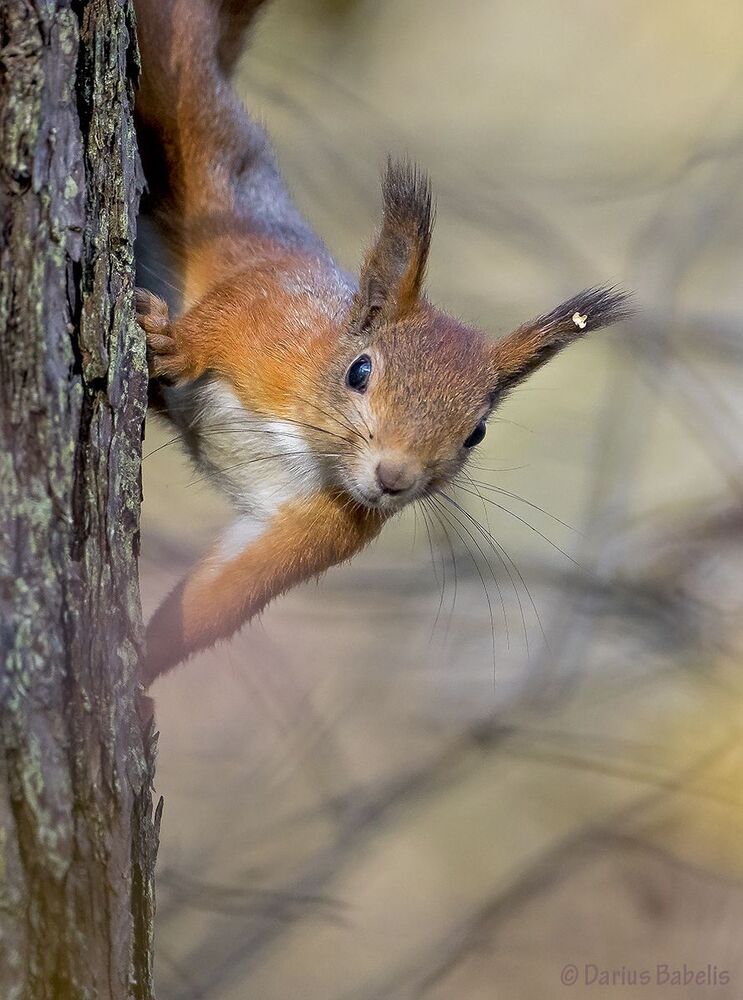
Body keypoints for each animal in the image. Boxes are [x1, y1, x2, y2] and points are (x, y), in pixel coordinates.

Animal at [133, 0, 630, 686]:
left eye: (477, 433)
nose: (394, 479)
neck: (309, 448)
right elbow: (223, 317)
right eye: (359, 372)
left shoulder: (320, 528)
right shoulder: (271, 316)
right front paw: (176, 346)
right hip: (191, 127)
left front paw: (135, 667)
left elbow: (221, 599)